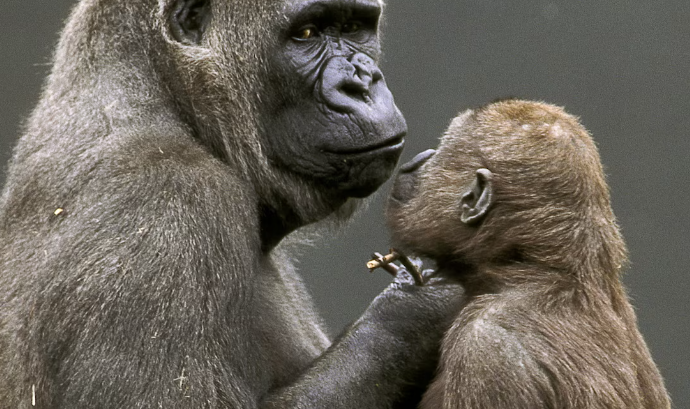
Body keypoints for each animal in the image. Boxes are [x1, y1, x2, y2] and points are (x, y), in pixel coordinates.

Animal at [0, 0, 464, 407]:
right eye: (307, 34)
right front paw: (418, 305)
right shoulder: (166, 207)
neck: (159, 92)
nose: (364, 82)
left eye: (353, 28)